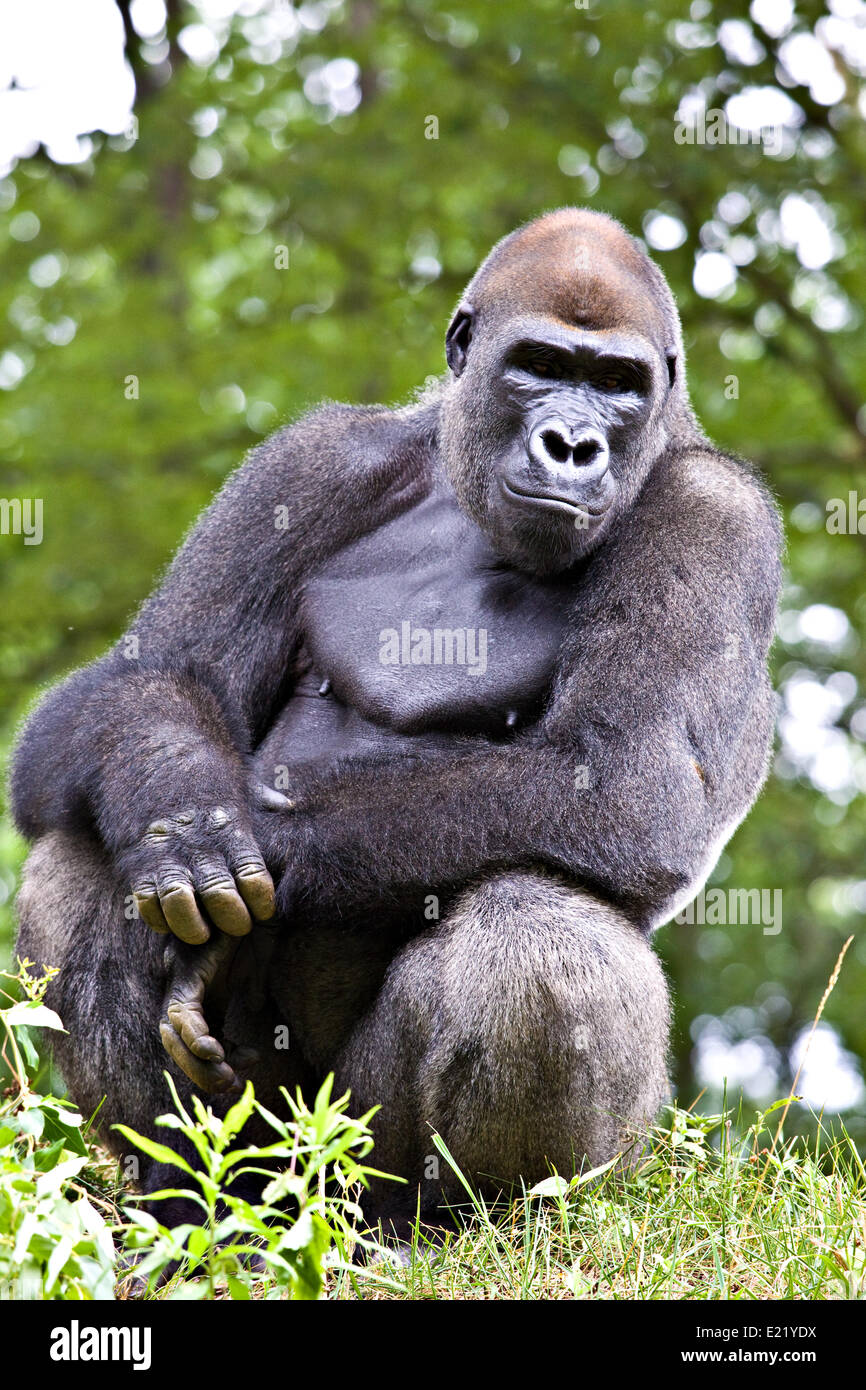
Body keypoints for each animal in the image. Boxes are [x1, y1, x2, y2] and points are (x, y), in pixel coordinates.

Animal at [10, 208, 783, 1239]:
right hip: (275, 1151)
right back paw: (189, 1208)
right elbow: (146, 678)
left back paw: (470, 1221)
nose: (573, 443)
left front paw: (259, 844)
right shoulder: (312, 460)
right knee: (80, 850)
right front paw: (180, 809)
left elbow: (620, 781)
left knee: (539, 939)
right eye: (539, 364)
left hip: (387, 1152)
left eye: (619, 384)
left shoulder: (718, 517)